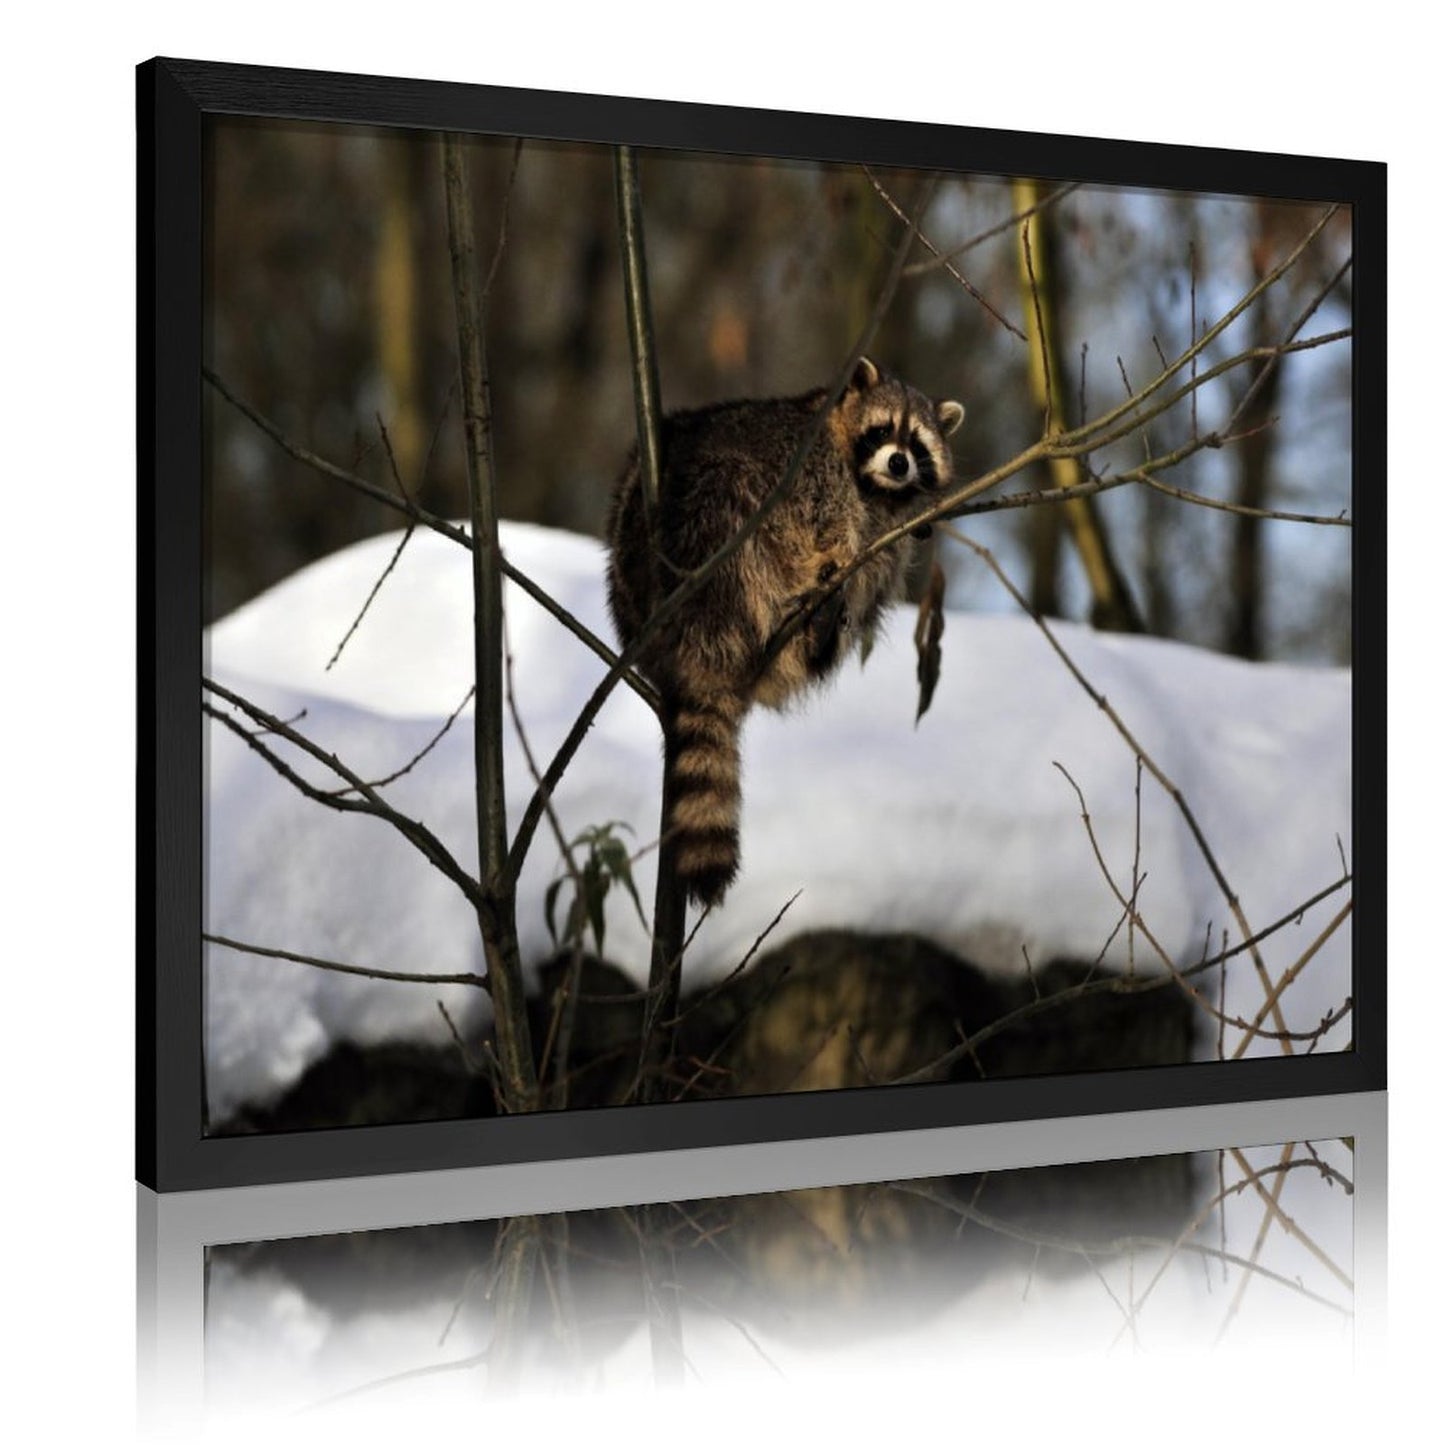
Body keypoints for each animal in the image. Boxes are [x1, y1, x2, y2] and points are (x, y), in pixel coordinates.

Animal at [606, 356, 965, 907]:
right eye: (883, 430)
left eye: (918, 443)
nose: (899, 464)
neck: (873, 487)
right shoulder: (814, 471)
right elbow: (823, 522)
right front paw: (833, 553)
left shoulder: (887, 520)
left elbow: (880, 554)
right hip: (708, 536)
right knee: (732, 501)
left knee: (870, 586)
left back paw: (821, 633)